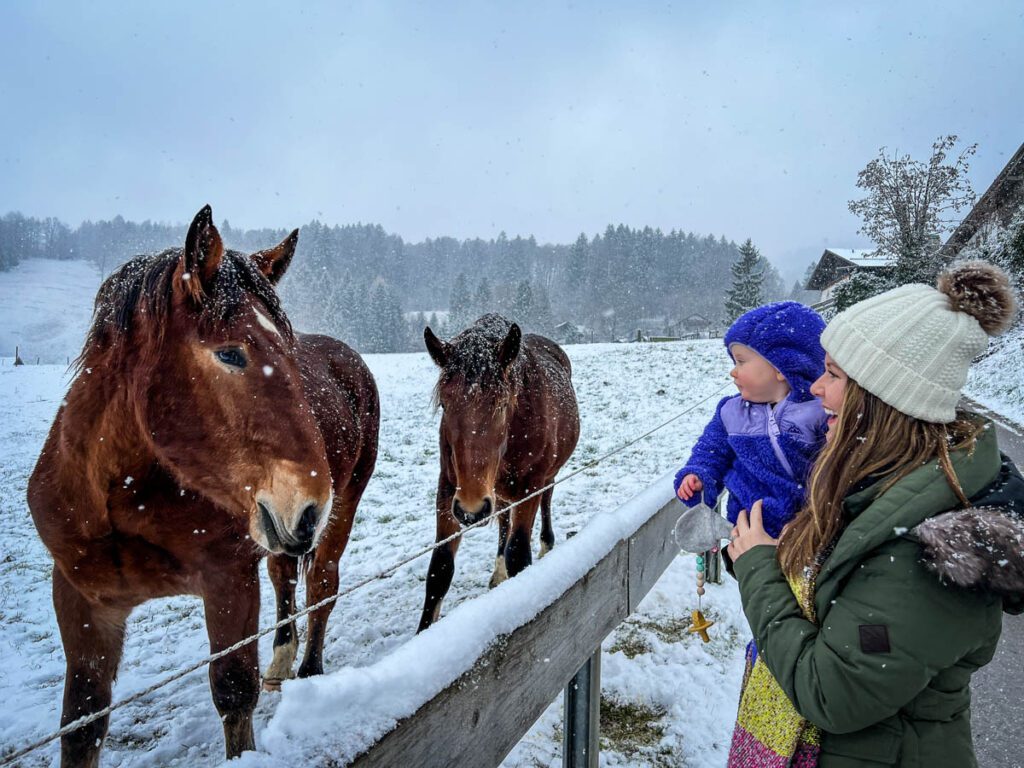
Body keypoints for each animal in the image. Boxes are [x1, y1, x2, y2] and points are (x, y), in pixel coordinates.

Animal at [29, 205, 380, 768]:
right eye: (230, 354)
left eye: (288, 350)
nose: (308, 506)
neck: (120, 496)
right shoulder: (81, 600)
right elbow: (81, 724)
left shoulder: (228, 580)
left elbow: (234, 696)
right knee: (285, 579)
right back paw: (282, 661)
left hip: (339, 512)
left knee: (322, 586)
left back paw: (309, 672)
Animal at [415, 315, 577, 634]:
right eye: (444, 405)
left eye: (502, 405)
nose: (471, 509)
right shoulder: (449, 487)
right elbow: (439, 569)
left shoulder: (529, 486)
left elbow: (519, 554)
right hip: (498, 492)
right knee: (503, 520)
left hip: (545, 478)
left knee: (547, 500)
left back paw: (546, 544)